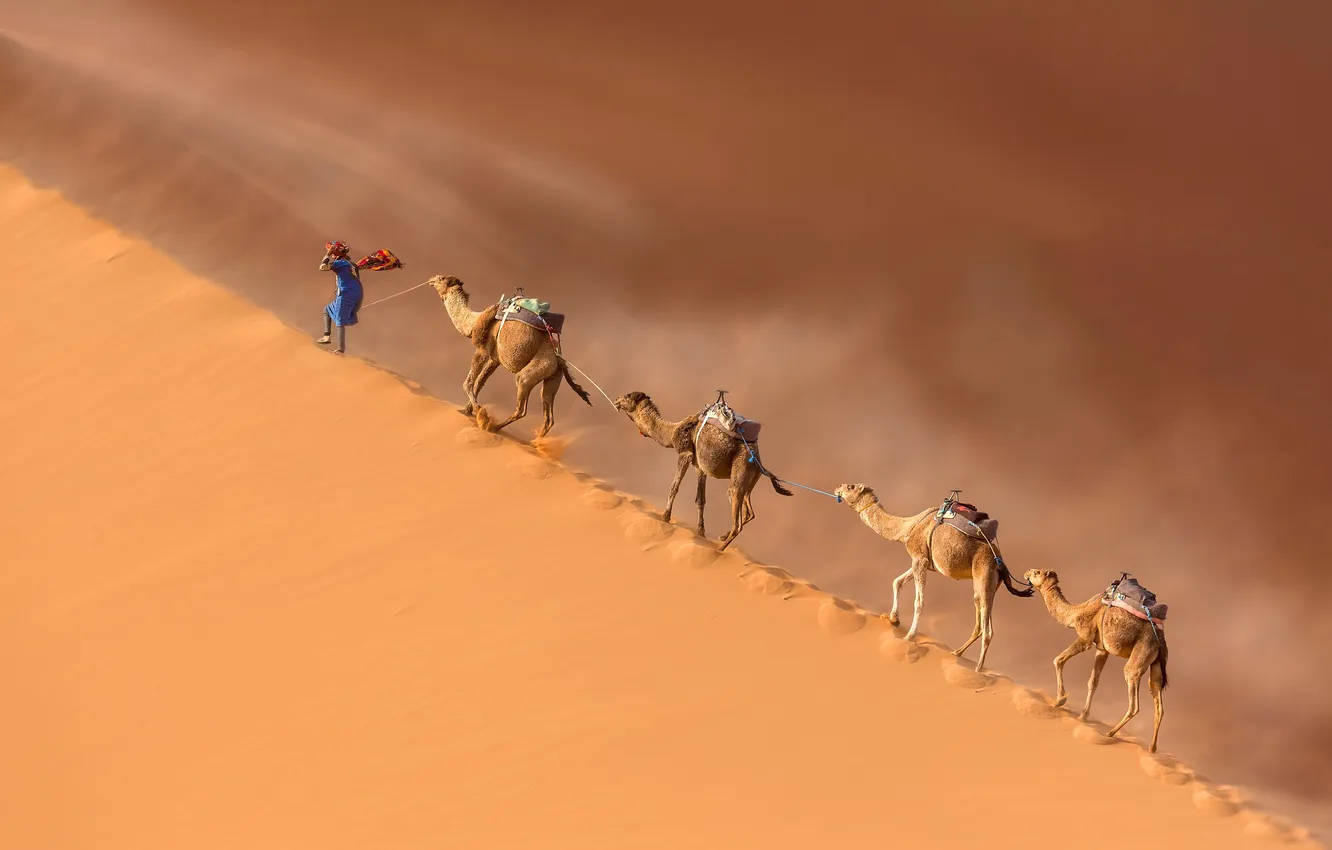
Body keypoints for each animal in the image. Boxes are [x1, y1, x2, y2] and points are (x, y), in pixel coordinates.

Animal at [427, 275, 591, 439]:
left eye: (441, 279)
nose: (431, 278)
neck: (473, 322)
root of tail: (558, 357)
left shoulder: (482, 350)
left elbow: (468, 383)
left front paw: (481, 415)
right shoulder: (495, 359)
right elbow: (479, 383)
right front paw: (467, 410)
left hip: (535, 369)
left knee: (522, 405)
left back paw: (494, 427)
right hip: (554, 376)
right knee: (548, 414)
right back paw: (536, 442)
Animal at [612, 391, 793, 551]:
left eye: (628, 396)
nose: (616, 399)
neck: (672, 431)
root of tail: (759, 463)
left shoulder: (685, 454)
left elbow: (674, 487)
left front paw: (665, 517)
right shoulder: (699, 467)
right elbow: (701, 499)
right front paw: (700, 531)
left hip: (740, 472)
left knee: (737, 520)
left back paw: (719, 550)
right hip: (750, 482)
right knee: (749, 512)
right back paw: (722, 537)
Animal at [832, 484, 1034, 672]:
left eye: (850, 487)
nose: (837, 488)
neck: (908, 527)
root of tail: (1001, 562)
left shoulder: (919, 559)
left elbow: (919, 601)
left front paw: (909, 636)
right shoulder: (922, 561)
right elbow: (897, 582)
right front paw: (893, 619)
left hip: (985, 575)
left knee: (988, 629)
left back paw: (977, 670)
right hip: (986, 585)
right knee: (979, 618)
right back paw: (957, 653)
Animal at [1024, 569, 1169, 753]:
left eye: (1036, 573)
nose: (1026, 573)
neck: (1077, 611)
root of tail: (1161, 641)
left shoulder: (1085, 637)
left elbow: (1058, 660)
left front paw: (1060, 700)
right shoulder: (1102, 649)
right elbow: (1093, 681)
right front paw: (1083, 715)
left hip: (1140, 654)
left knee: (1133, 698)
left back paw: (1110, 733)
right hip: (1155, 663)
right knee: (1158, 702)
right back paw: (1151, 747)